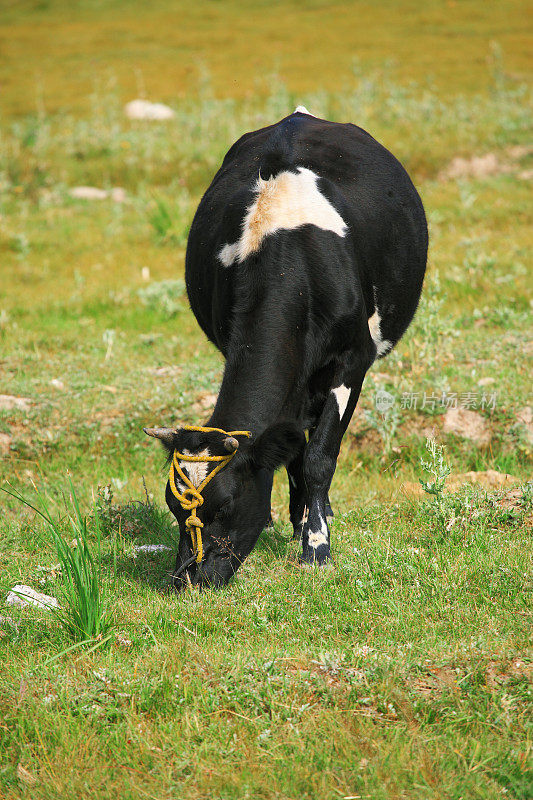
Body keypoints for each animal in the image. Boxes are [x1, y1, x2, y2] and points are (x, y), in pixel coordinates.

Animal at [143, 106, 426, 588]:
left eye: (226, 505)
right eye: (174, 508)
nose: (188, 579)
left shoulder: (351, 362)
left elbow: (319, 458)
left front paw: (316, 547)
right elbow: (292, 449)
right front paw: (298, 524)